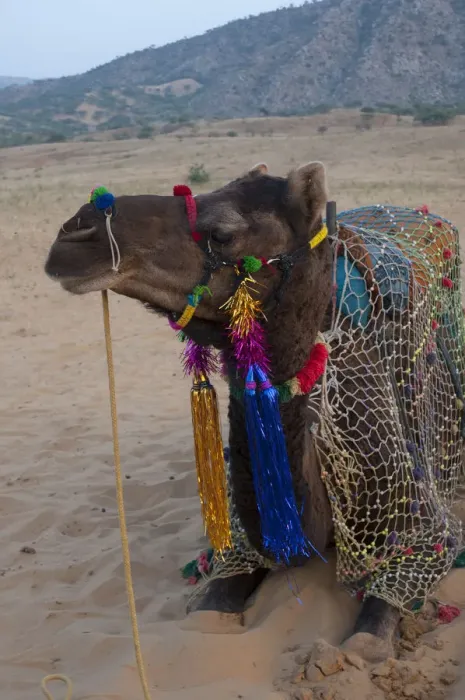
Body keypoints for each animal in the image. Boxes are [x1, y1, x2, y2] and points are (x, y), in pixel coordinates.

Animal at [44, 162, 464, 662]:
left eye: (223, 233)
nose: (75, 233)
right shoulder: (237, 545)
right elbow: (205, 613)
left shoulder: (421, 530)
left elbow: (368, 637)